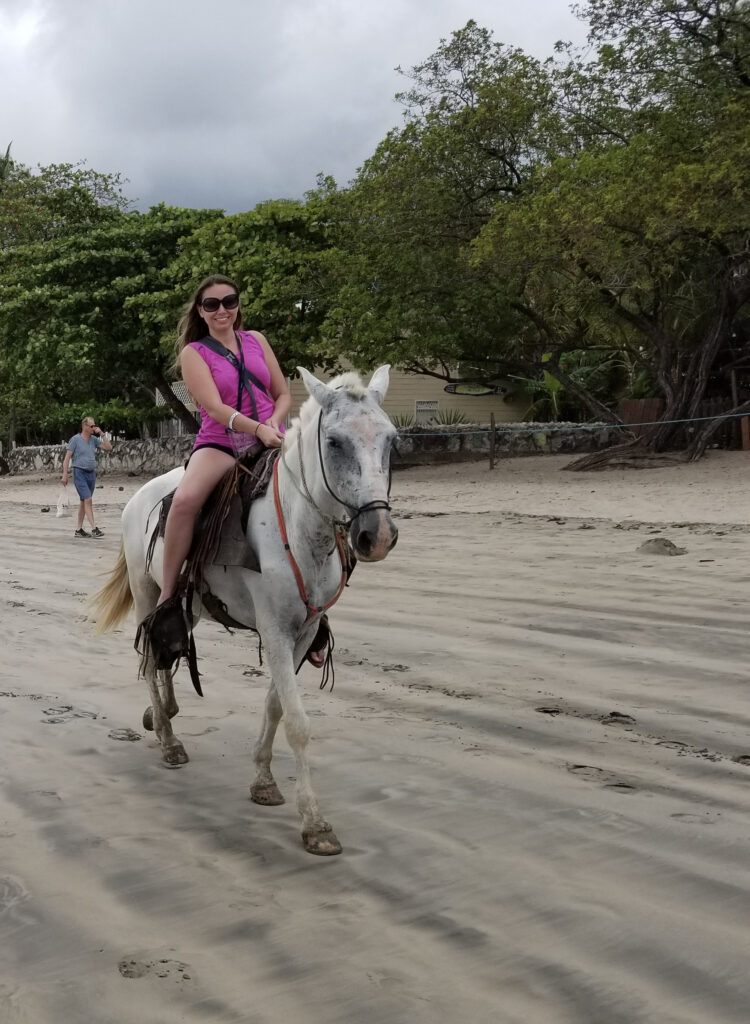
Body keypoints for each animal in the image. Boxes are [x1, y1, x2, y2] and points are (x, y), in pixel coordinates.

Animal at [94, 368, 397, 856]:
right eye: (334, 442)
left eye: (391, 440)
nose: (379, 535)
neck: (297, 528)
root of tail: (140, 495)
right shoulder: (274, 631)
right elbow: (298, 722)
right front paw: (315, 823)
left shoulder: (301, 633)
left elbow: (275, 706)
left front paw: (263, 781)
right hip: (145, 591)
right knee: (150, 656)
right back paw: (168, 738)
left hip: (188, 603)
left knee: (167, 647)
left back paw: (164, 716)